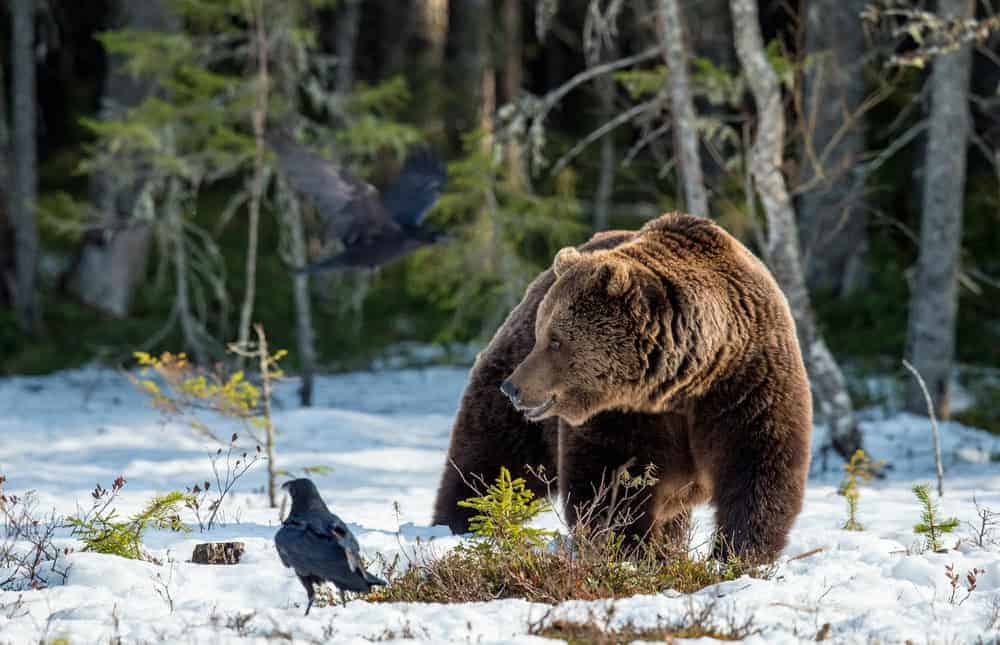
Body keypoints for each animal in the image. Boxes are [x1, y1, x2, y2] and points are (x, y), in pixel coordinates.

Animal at [432, 212, 812, 564]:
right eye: (542, 335)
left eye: (555, 340)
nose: (513, 387)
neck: (683, 380)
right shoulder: (623, 412)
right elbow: (612, 476)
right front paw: (630, 550)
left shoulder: (746, 383)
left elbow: (759, 463)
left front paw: (738, 552)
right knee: (493, 458)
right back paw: (460, 523)